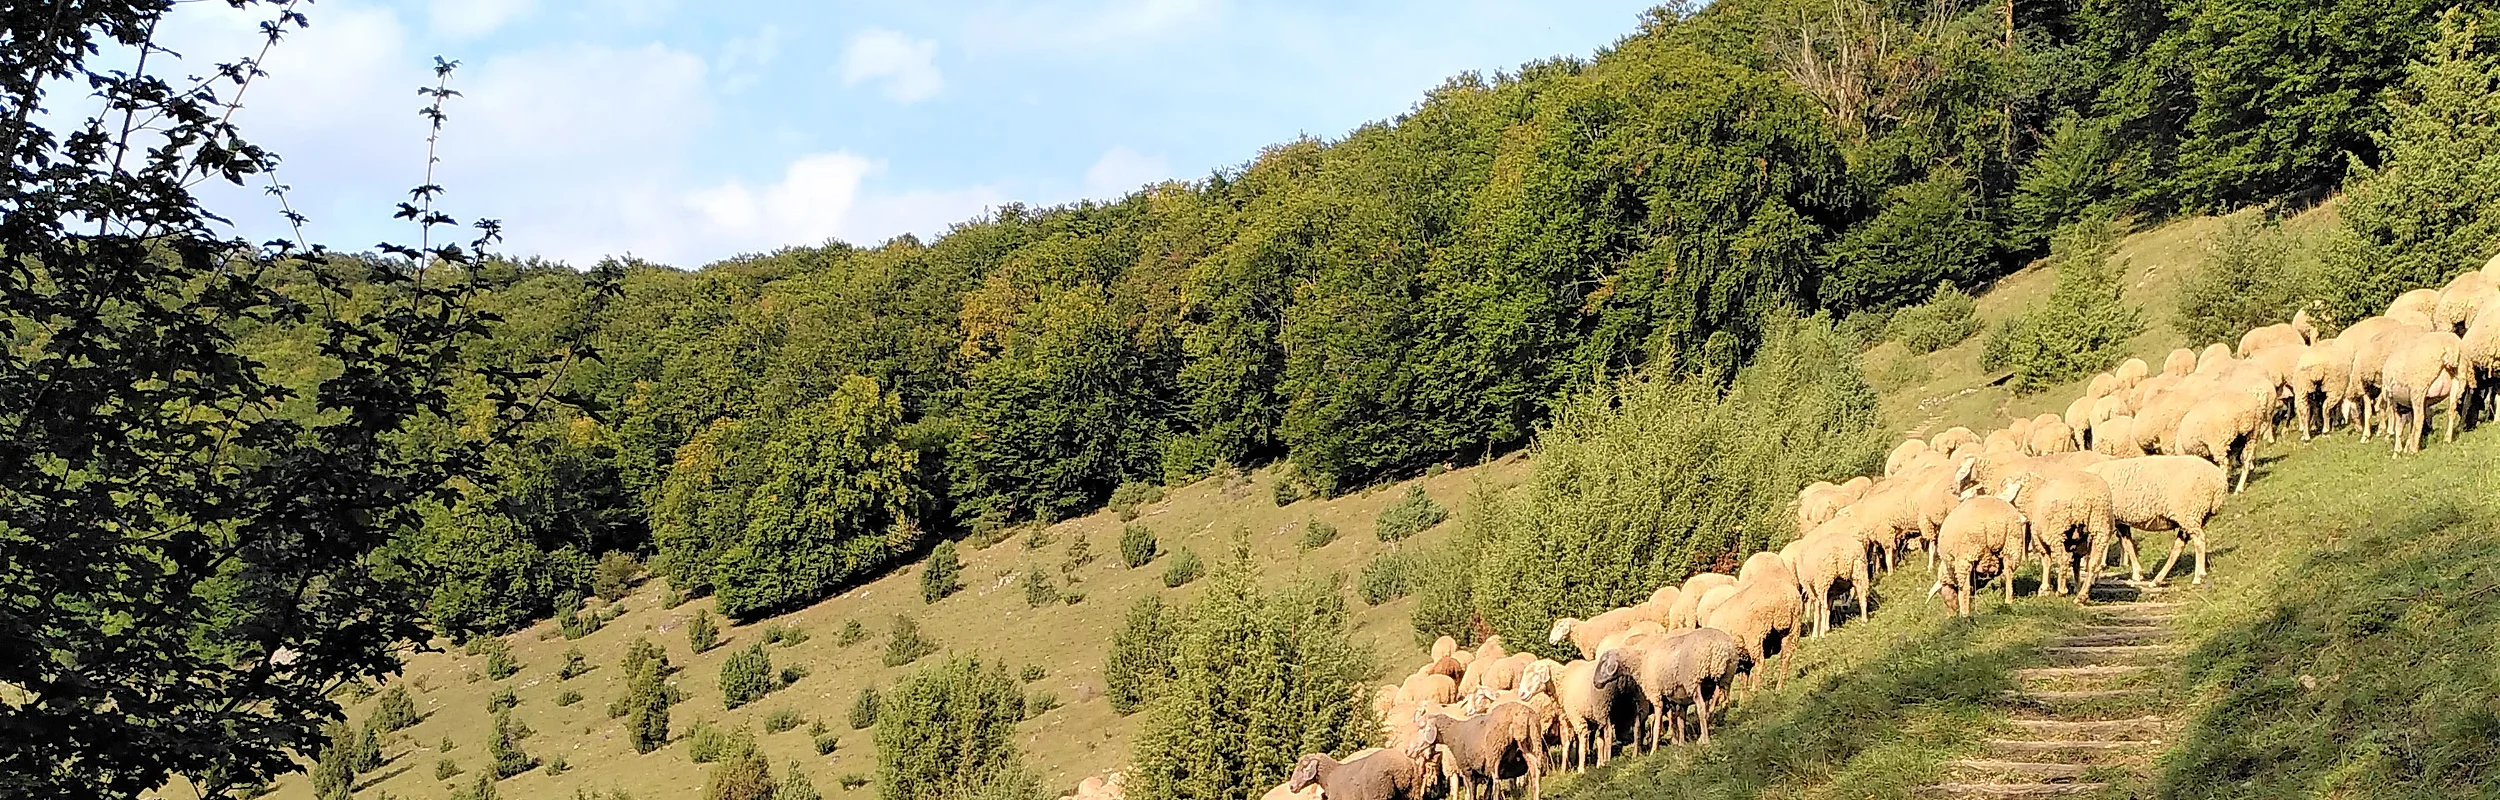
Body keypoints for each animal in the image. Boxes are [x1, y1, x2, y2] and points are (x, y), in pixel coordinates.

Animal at [1290, 745, 1430, 800]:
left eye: (1303, 767)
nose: (1291, 786)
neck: (1329, 775)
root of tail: (1401, 767)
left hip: (1378, 793)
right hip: (1412, 791)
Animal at [1410, 700, 1540, 800]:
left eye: (1422, 727)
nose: (1408, 750)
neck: (1455, 733)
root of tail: (1522, 716)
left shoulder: (1467, 769)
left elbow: (1472, 792)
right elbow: (1486, 792)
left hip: (1495, 752)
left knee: (1497, 783)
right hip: (1532, 744)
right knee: (1535, 775)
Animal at [2080, 455, 2240, 587]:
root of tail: (2218, 480)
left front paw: (2095, 573)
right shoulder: (2120, 520)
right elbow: (2128, 544)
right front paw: (2137, 574)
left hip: (2190, 513)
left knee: (2199, 540)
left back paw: (2198, 576)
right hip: (2192, 517)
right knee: (2179, 547)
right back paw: (2157, 580)